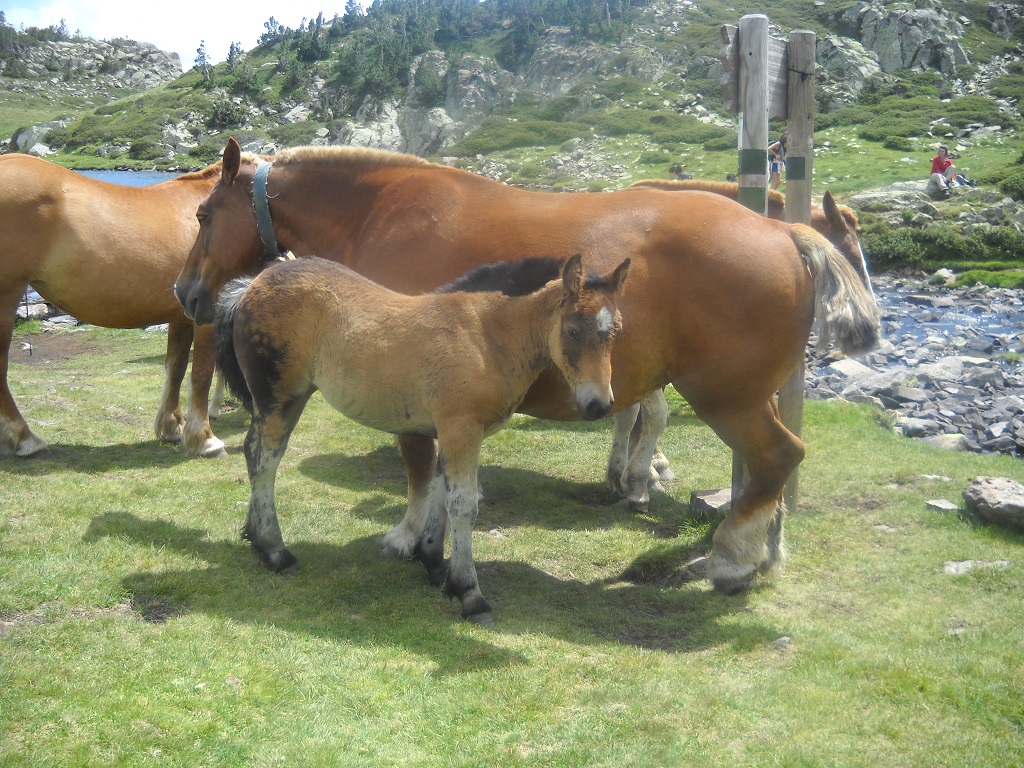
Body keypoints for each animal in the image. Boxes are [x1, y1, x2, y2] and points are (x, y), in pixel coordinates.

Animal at [0, 153, 225, 460]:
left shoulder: (182, 314)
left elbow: (176, 367)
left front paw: (171, 427)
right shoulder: (205, 313)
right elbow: (201, 371)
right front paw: (204, 439)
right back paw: (25, 439)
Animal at [215, 253, 626, 626]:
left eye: (617, 331)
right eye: (572, 330)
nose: (599, 405)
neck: (487, 335)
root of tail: (253, 284)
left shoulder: (447, 431)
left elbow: (440, 493)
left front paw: (434, 564)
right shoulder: (462, 429)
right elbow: (463, 504)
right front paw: (470, 594)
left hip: (292, 398)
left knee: (258, 455)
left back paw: (255, 537)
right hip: (278, 397)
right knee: (264, 460)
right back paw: (275, 552)